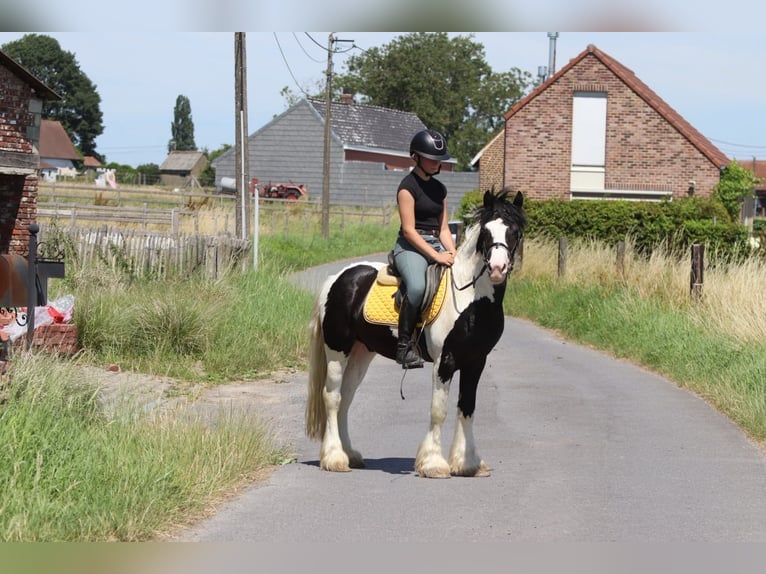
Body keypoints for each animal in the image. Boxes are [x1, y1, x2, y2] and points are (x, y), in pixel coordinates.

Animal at [305, 189, 526, 478]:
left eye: (515, 231)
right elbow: (439, 410)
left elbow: (467, 408)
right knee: (332, 397)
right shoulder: (446, 361)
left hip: (361, 353)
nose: (498, 269)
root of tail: (338, 278)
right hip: (336, 351)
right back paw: (334, 458)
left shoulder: (476, 362)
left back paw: (350, 454)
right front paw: (434, 463)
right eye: (486, 232)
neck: (471, 297)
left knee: (346, 398)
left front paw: (468, 463)